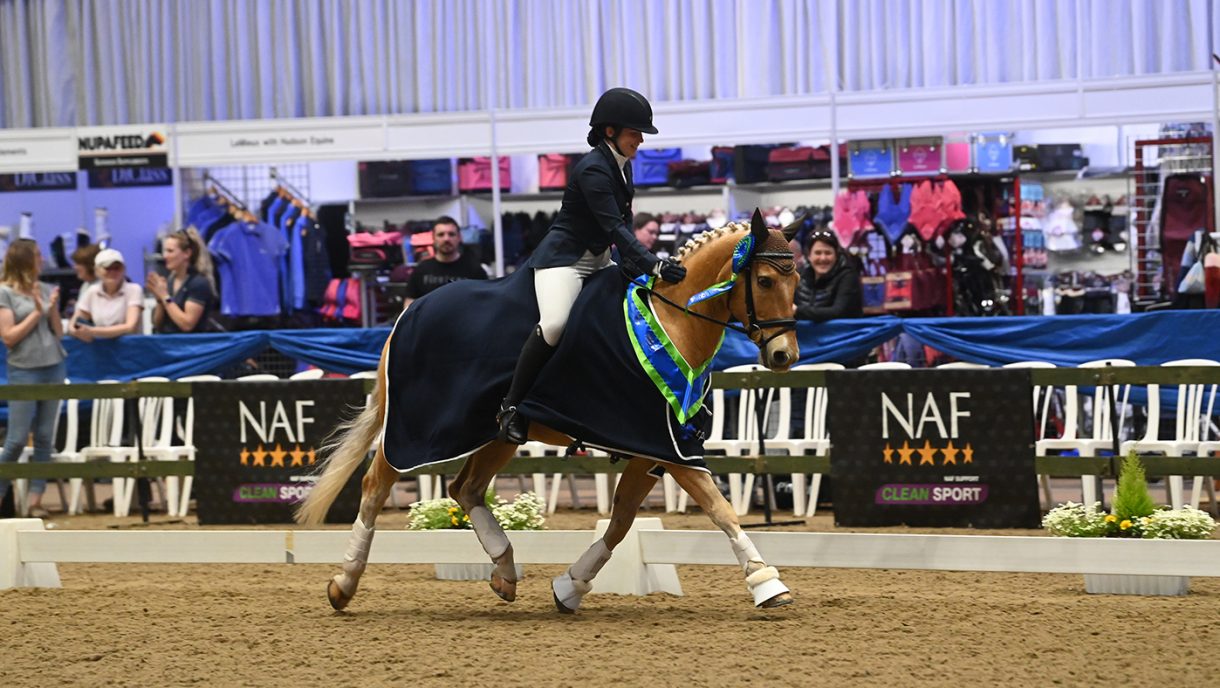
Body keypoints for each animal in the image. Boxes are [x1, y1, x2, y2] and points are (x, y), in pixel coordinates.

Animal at [295, 209, 802, 613]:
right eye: (764, 281)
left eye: (796, 280)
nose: (784, 355)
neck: (672, 318)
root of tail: (408, 312)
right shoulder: (669, 447)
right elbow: (720, 509)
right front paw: (767, 583)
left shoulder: (653, 447)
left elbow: (621, 523)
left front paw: (569, 587)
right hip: (417, 428)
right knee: (375, 484)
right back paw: (343, 583)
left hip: (498, 434)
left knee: (466, 488)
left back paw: (504, 571)